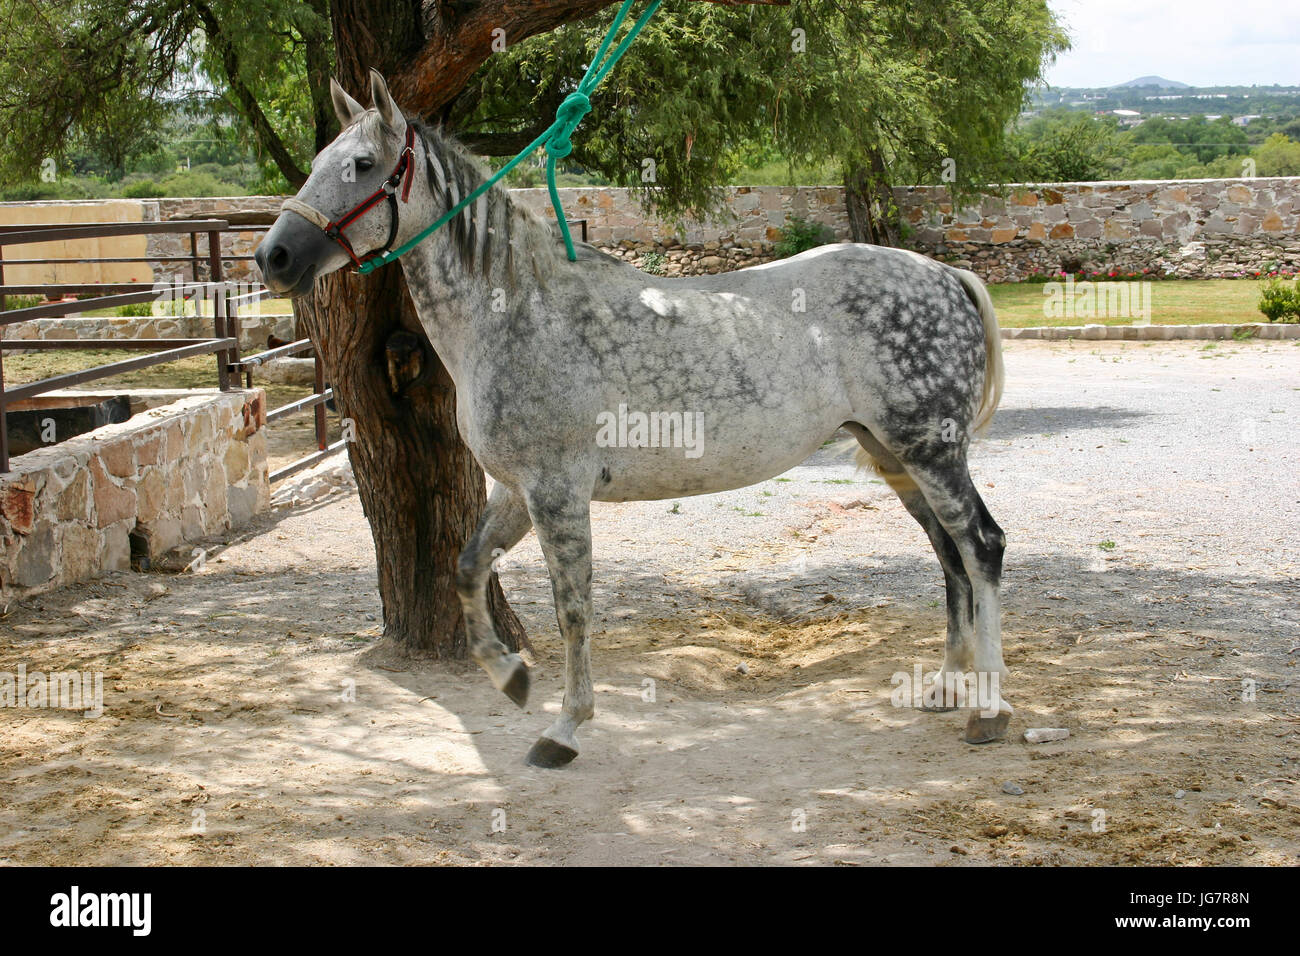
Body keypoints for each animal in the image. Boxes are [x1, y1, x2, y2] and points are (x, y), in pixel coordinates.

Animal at [255, 70, 1012, 768]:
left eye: (361, 165)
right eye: (320, 158)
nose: (274, 256)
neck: (516, 312)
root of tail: (945, 275)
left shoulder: (557, 492)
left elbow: (573, 608)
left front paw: (564, 728)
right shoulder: (516, 490)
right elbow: (467, 569)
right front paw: (510, 678)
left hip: (930, 451)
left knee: (981, 546)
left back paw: (989, 709)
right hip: (894, 456)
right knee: (948, 554)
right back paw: (947, 686)